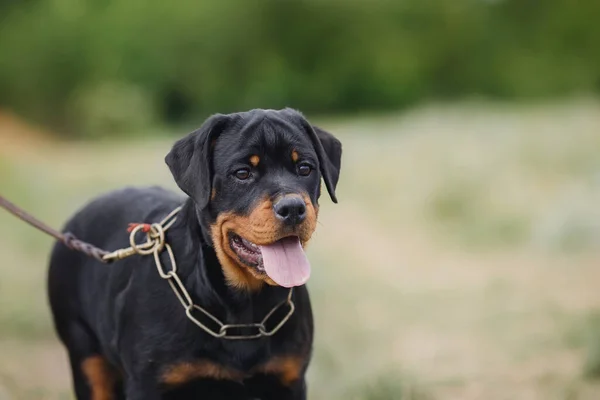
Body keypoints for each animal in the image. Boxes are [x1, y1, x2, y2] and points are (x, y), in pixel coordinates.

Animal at [47, 108, 342, 398]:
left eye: (305, 168)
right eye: (243, 173)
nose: (292, 208)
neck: (243, 310)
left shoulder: (289, 379)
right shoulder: (147, 384)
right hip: (86, 358)